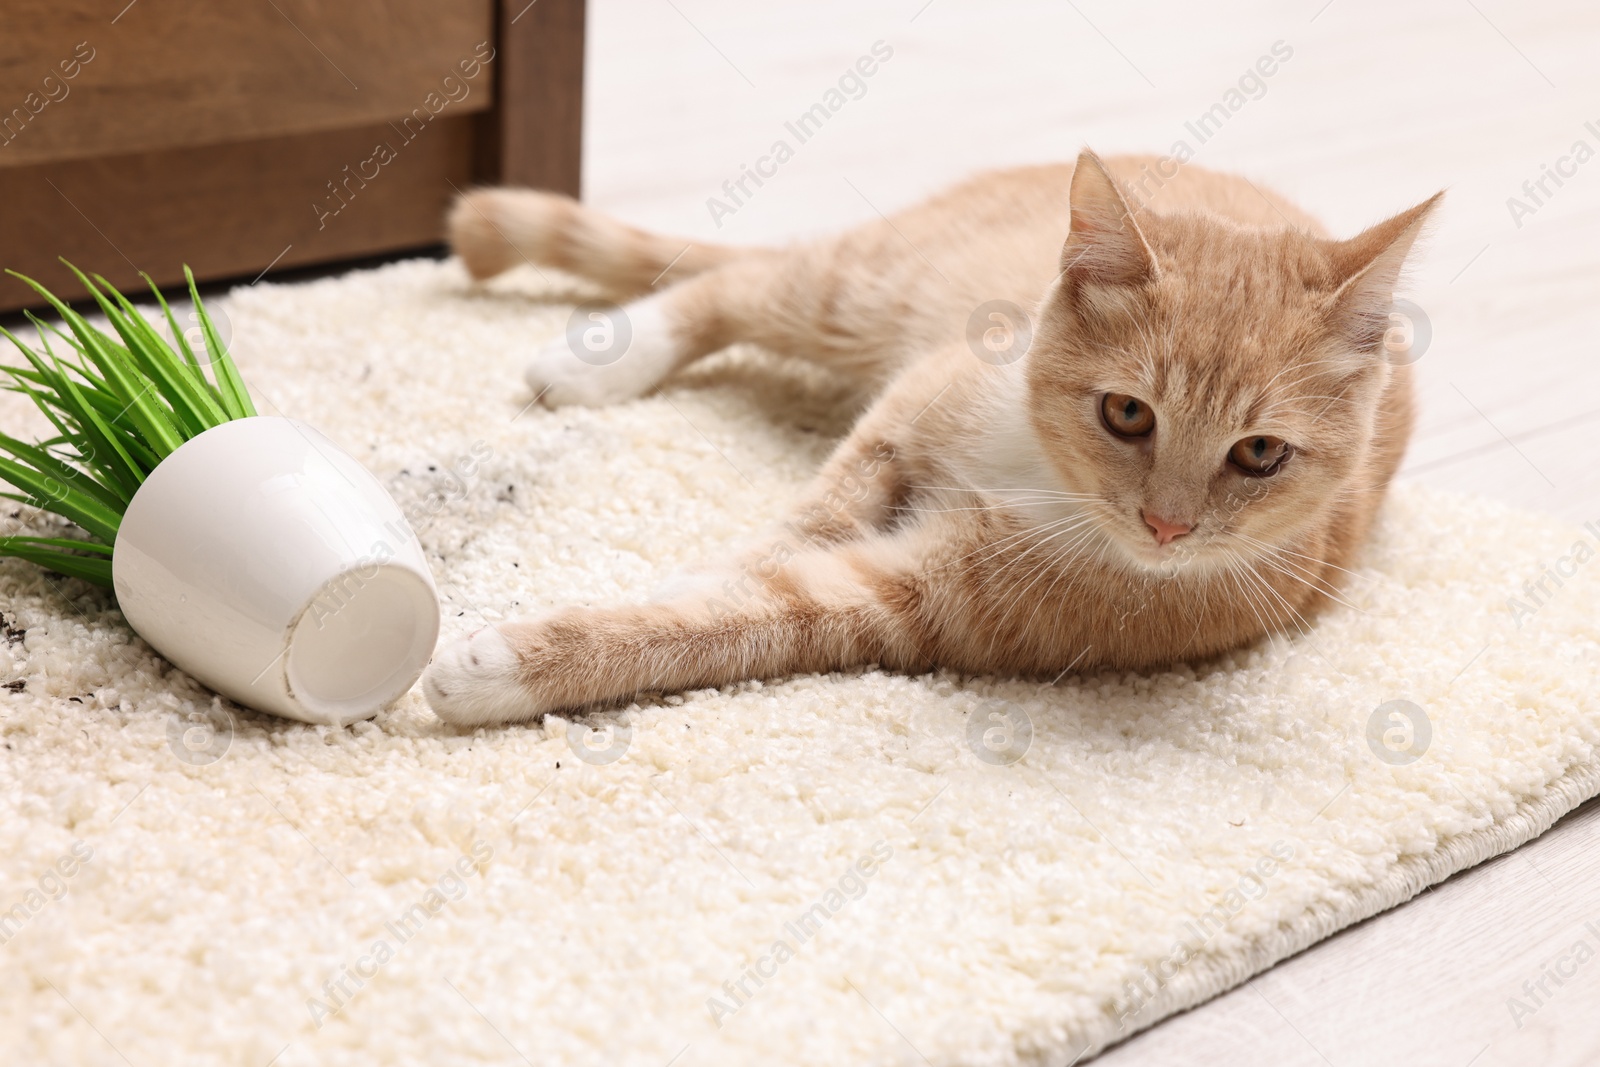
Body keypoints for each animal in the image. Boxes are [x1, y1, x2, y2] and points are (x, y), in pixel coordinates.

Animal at [422, 150, 1440, 729]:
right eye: (1128, 413)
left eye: (1260, 454)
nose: (1167, 526)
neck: (1040, 470)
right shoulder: (906, 413)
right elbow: (805, 524)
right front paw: (705, 573)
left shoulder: (911, 602)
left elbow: (740, 620)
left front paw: (501, 668)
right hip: (861, 291)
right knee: (739, 285)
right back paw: (597, 357)